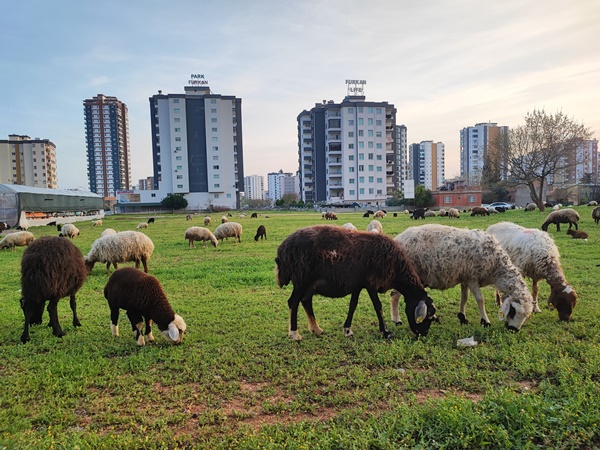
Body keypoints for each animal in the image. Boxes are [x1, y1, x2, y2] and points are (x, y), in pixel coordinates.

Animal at [276, 227, 436, 340]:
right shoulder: (371, 283)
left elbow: (353, 305)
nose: (424, 334)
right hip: (301, 279)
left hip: (310, 283)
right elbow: (378, 306)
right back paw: (294, 334)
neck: (397, 268)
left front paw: (347, 330)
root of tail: (282, 250)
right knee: (293, 302)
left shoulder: (358, 284)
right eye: (427, 316)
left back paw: (316, 329)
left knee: (306, 301)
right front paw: (385, 332)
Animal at [394, 224, 536, 330]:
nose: (513, 329)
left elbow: (465, 297)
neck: (496, 267)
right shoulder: (472, 278)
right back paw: (396, 320)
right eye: (513, 311)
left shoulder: (464, 278)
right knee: (394, 296)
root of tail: (399, 238)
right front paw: (485, 321)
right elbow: (480, 299)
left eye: (527, 316)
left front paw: (462, 317)